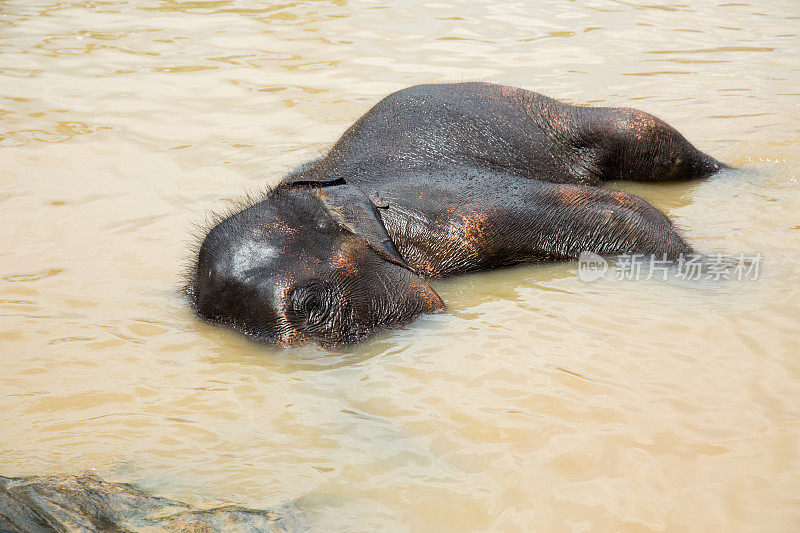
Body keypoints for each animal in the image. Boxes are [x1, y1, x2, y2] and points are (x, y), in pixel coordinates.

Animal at [188, 79, 724, 344]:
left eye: (313, 305)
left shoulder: (450, 208)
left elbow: (618, 209)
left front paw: (724, 276)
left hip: (555, 116)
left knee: (643, 134)